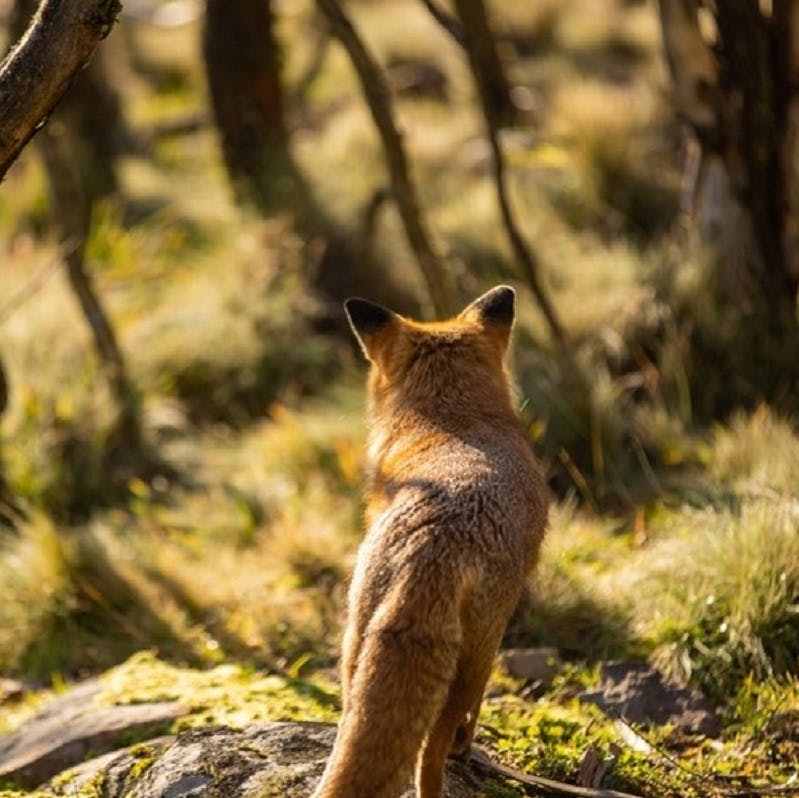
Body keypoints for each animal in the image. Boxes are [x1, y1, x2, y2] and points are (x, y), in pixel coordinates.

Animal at [312, 288, 552, 798]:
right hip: (472, 653)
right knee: (430, 747)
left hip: (358, 637)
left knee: (356, 721)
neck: (451, 419)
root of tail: (435, 545)